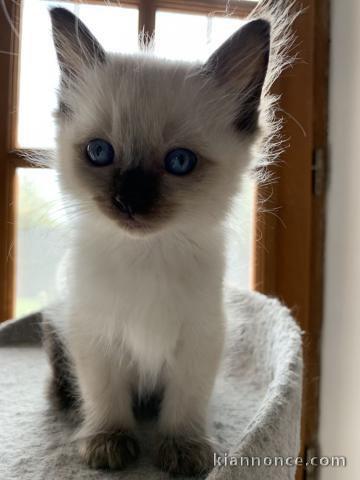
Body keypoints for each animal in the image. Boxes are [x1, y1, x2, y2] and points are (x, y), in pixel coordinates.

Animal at [42, 7, 270, 476]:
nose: (129, 200)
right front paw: (108, 442)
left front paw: (182, 449)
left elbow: (186, 401)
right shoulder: (95, 334)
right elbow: (105, 394)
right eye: (99, 153)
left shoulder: (200, 336)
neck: (145, 255)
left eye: (180, 162)